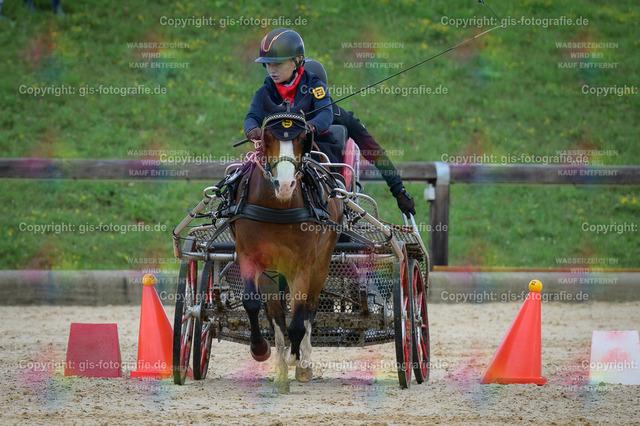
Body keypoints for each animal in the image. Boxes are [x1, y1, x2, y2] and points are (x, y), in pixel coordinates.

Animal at [231, 94, 343, 393]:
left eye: (304, 139)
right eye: (266, 137)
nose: (285, 185)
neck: (278, 206)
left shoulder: (303, 264)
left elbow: (299, 320)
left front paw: (296, 357)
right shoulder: (249, 255)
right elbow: (254, 304)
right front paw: (261, 349)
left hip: (321, 262)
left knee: (309, 310)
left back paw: (302, 363)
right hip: (274, 271)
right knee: (277, 315)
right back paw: (281, 370)